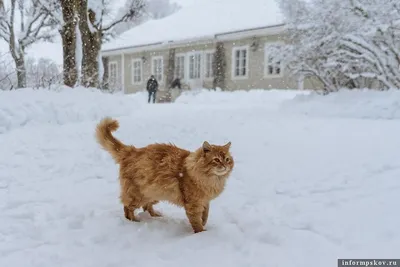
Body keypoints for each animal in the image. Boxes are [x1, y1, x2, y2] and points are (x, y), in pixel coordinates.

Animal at [96, 118, 234, 233]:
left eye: (227, 159)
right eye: (216, 160)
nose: (225, 166)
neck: (212, 180)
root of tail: (132, 151)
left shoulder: (205, 201)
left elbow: (205, 216)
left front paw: (204, 224)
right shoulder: (193, 204)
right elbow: (196, 222)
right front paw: (202, 234)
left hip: (153, 194)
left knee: (146, 207)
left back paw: (156, 216)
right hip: (138, 195)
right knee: (127, 208)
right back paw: (134, 222)